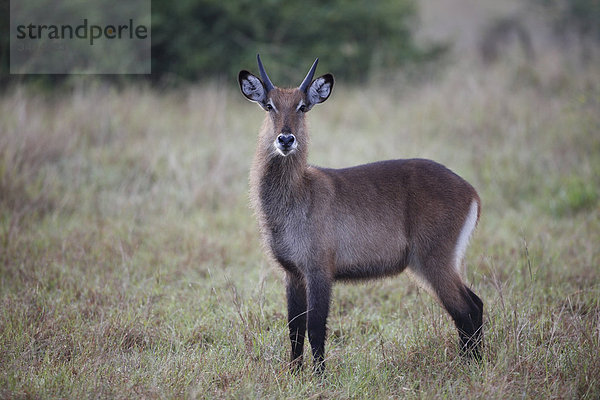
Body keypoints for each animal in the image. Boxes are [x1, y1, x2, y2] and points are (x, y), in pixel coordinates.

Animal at [238, 54, 482, 374]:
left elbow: (316, 327)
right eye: (269, 105)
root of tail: (471, 191)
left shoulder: (319, 269)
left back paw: (471, 366)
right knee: (475, 304)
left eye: (302, 106)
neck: (298, 193)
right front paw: (293, 373)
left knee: (466, 310)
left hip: (434, 260)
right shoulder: (292, 273)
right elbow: (294, 328)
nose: (285, 139)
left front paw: (319, 377)